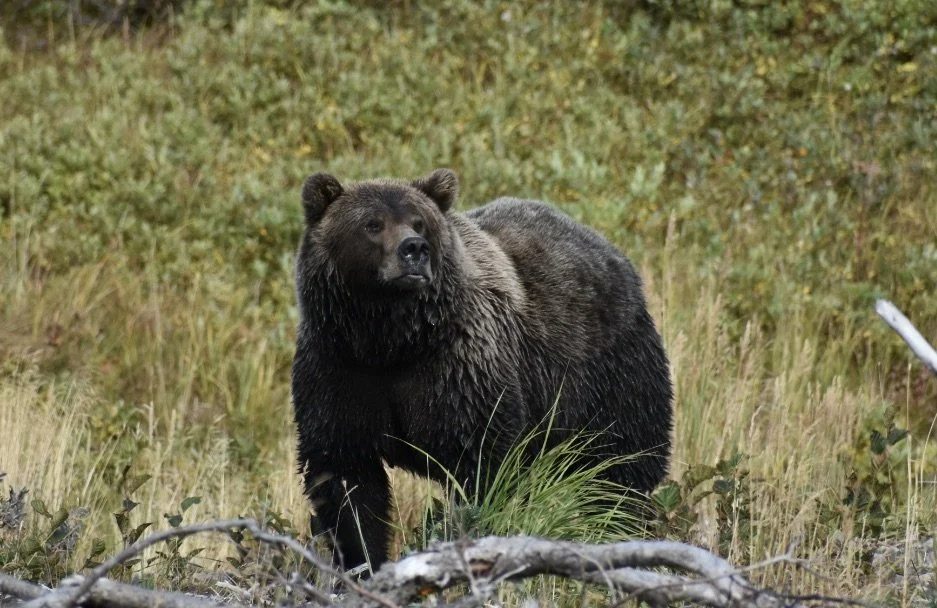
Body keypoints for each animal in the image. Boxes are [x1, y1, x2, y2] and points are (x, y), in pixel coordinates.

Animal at [290, 168, 673, 573]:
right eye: (372, 224)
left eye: (419, 222)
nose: (414, 249)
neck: (392, 340)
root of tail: (612, 251)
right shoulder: (339, 369)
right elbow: (345, 476)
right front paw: (361, 561)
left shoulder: (460, 368)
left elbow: (482, 461)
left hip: (610, 376)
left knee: (619, 469)